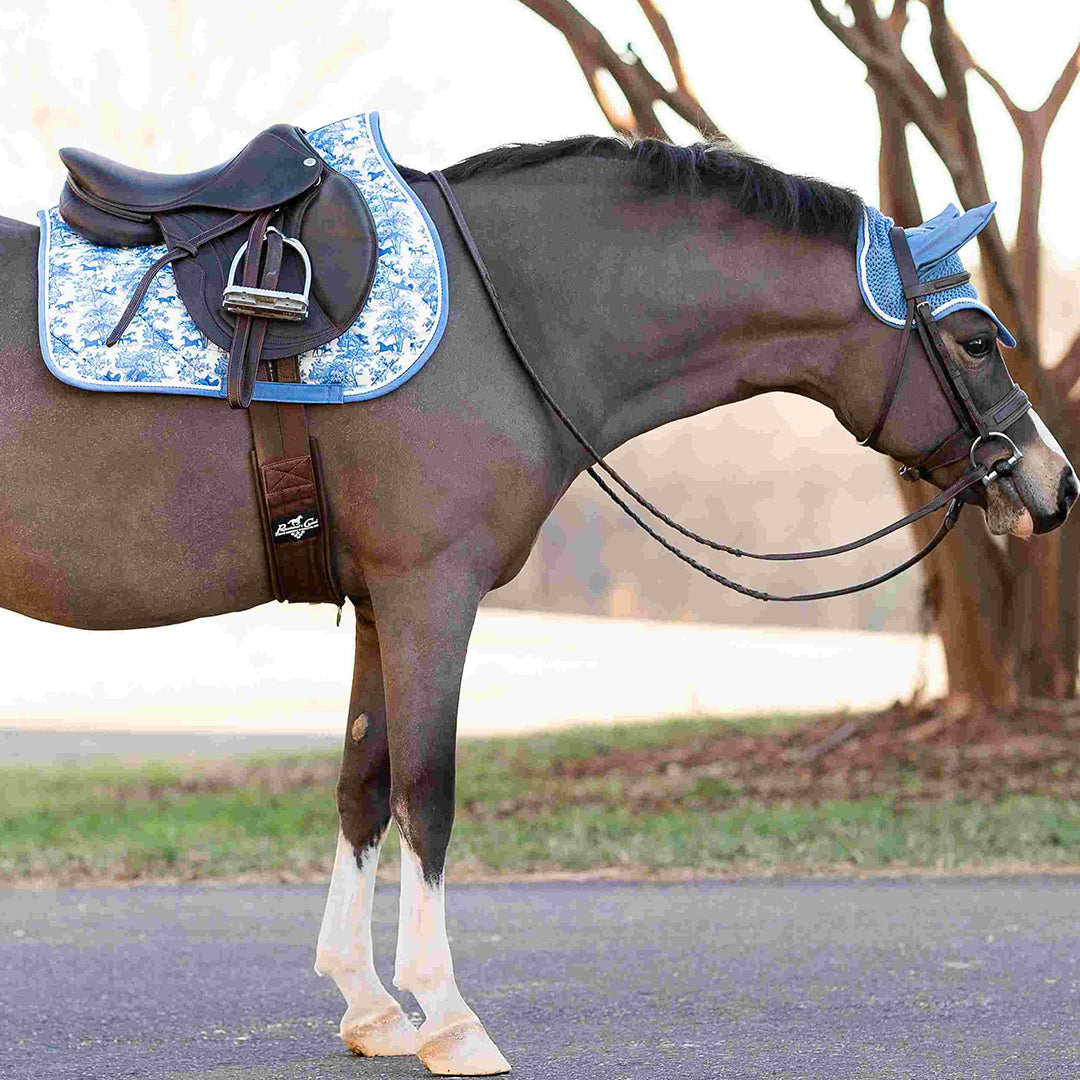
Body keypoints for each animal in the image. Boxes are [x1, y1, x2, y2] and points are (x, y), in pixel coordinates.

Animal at [1, 134, 1075, 1076]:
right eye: (976, 340)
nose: (1053, 484)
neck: (500, 321)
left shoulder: (381, 602)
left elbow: (362, 786)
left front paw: (368, 1004)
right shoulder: (432, 590)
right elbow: (425, 794)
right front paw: (448, 1018)